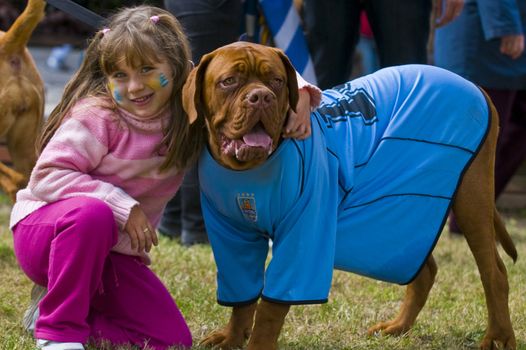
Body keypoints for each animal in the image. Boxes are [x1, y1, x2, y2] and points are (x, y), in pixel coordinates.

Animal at [183, 43, 520, 350]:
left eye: (276, 81)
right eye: (229, 81)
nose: (261, 97)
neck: (248, 169)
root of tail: (474, 86)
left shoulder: (304, 234)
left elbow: (271, 307)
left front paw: (258, 345)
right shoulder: (232, 238)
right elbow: (241, 298)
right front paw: (231, 337)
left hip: (469, 200)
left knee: (494, 273)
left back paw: (497, 337)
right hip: (400, 210)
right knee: (423, 269)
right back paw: (398, 327)